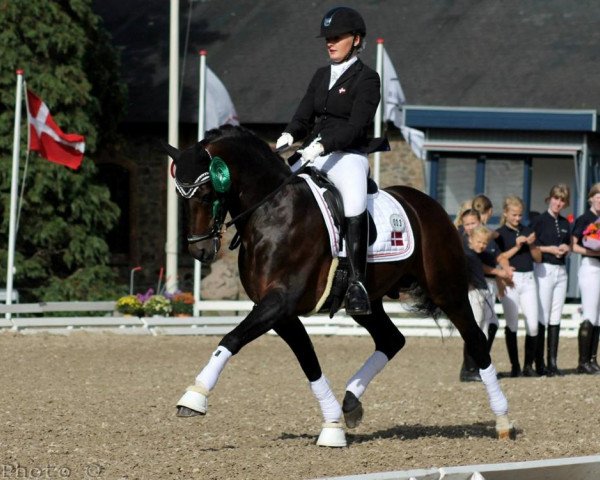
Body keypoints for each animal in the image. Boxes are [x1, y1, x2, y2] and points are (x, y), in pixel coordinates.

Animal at [166, 124, 512, 446]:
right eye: (181, 197)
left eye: (206, 193)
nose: (200, 251)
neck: (271, 211)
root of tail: (431, 207)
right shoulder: (280, 311)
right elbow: (308, 361)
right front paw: (332, 425)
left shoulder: (279, 302)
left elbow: (232, 338)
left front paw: (194, 396)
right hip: (367, 302)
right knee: (392, 340)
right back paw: (351, 402)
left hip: (448, 291)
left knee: (476, 339)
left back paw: (503, 420)